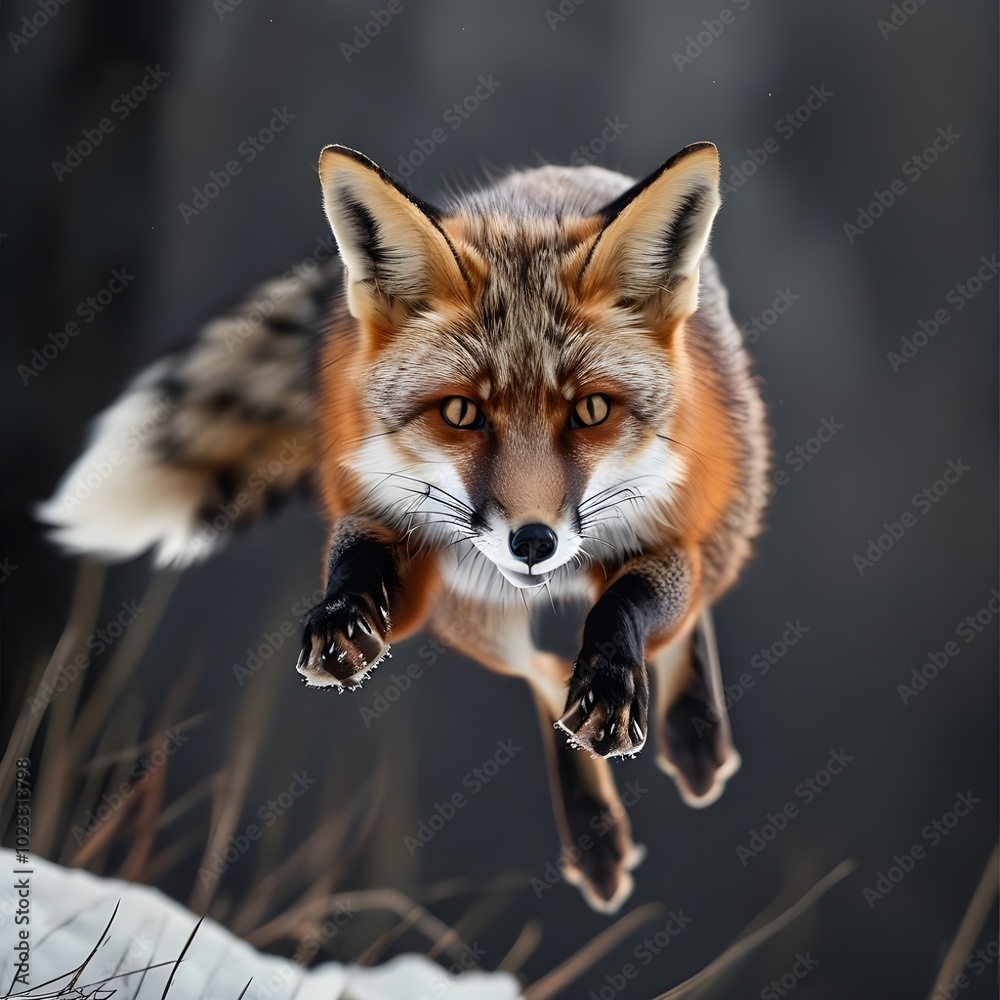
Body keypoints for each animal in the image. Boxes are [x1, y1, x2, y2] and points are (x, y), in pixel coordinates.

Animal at [38, 141, 769, 913]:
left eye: (592, 411)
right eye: (461, 413)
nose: (533, 543)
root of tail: (554, 173)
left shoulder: (664, 544)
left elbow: (623, 610)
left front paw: (613, 683)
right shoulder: (392, 533)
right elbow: (360, 566)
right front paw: (342, 618)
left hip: (716, 539)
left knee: (676, 619)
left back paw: (693, 742)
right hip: (478, 621)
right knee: (540, 670)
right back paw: (596, 836)